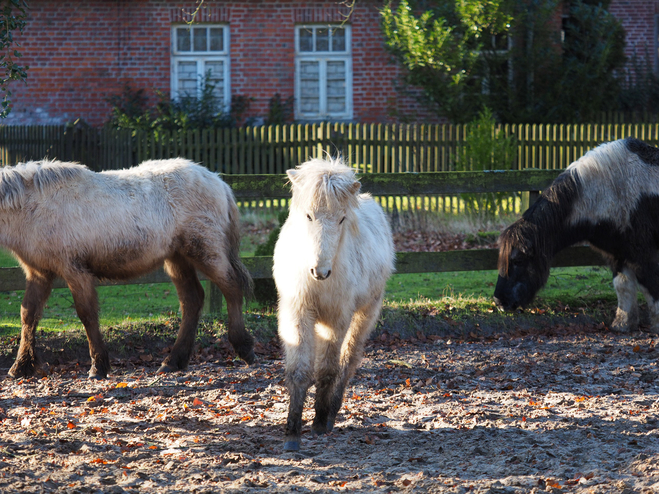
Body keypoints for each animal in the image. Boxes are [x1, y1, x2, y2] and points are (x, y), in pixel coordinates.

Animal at [1, 158, 255, 378]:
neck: (35, 206)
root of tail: (218, 182)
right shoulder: (39, 273)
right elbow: (28, 314)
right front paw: (20, 366)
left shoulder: (75, 271)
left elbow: (86, 314)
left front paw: (98, 367)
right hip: (177, 259)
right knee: (192, 300)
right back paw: (173, 361)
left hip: (205, 251)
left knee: (232, 287)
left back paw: (244, 348)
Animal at [272, 157, 394, 452]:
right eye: (308, 216)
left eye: (341, 219)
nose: (320, 271)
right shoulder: (298, 314)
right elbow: (300, 370)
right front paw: (292, 434)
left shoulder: (337, 319)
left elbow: (328, 369)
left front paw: (318, 422)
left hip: (366, 313)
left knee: (348, 360)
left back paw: (330, 414)